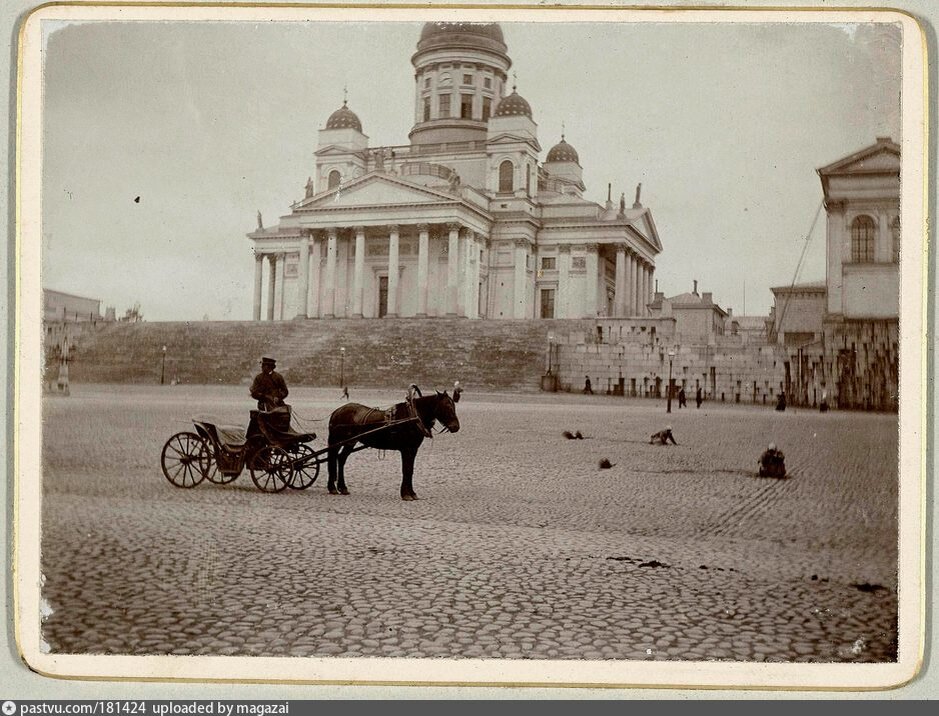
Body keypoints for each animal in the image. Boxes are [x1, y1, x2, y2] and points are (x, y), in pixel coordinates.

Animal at [326, 388, 462, 500]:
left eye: (454, 406)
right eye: (446, 407)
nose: (456, 427)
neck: (412, 416)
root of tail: (337, 411)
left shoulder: (413, 449)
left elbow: (410, 470)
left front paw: (412, 493)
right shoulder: (406, 449)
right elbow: (406, 469)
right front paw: (406, 494)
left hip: (350, 442)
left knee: (341, 459)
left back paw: (342, 487)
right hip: (337, 441)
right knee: (333, 458)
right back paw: (332, 487)